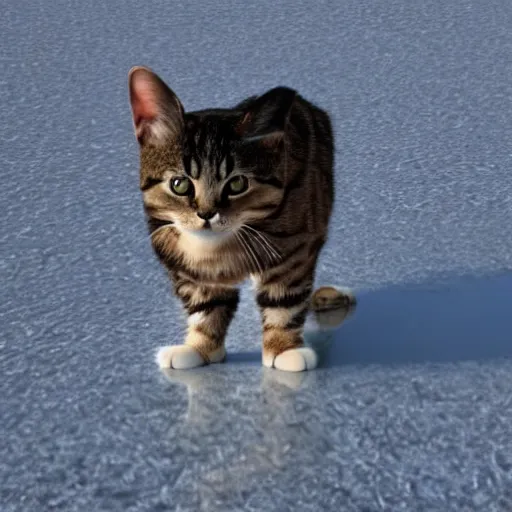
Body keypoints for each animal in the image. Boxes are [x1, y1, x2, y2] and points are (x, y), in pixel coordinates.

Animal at [128, 67, 352, 372]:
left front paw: (284, 348)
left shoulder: (295, 252)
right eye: (179, 184)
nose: (207, 213)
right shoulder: (186, 265)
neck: (217, 248)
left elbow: (284, 299)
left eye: (237, 184)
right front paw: (199, 347)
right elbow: (206, 305)